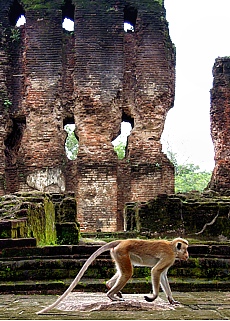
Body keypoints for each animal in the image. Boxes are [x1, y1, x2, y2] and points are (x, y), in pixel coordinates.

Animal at [36, 236, 189, 314]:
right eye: (186, 249)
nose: (188, 255)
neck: (172, 248)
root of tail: (122, 241)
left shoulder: (169, 260)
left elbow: (162, 275)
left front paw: (171, 300)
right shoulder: (169, 256)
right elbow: (155, 271)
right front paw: (152, 297)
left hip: (118, 254)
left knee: (123, 272)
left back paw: (110, 287)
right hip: (122, 252)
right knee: (127, 273)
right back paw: (111, 295)